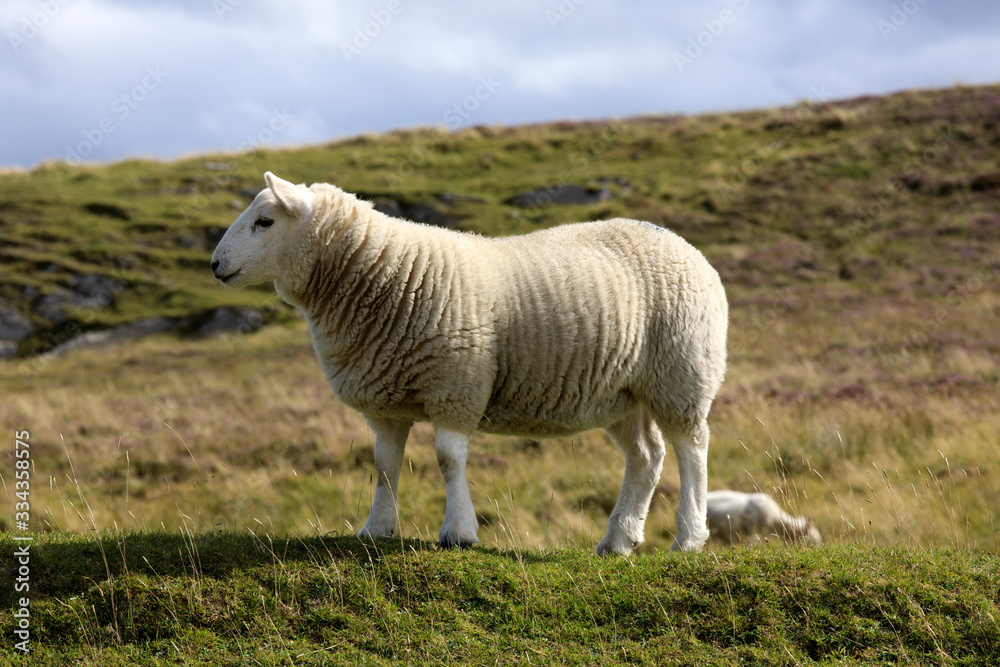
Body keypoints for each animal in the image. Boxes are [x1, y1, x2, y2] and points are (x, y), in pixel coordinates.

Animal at [210, 172, 728, 555]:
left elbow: (447, 459)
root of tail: (685, 245)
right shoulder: (385, 403)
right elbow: (384, 465)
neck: (390, 274)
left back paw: (688, 537)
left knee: (692, 449)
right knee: (646, 456)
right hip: (622, 393)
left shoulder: (456, 384)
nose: (215, 265)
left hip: (681, 373)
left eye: (264, 221)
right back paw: (618, 539)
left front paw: (458, 532)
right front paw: (377, 528)